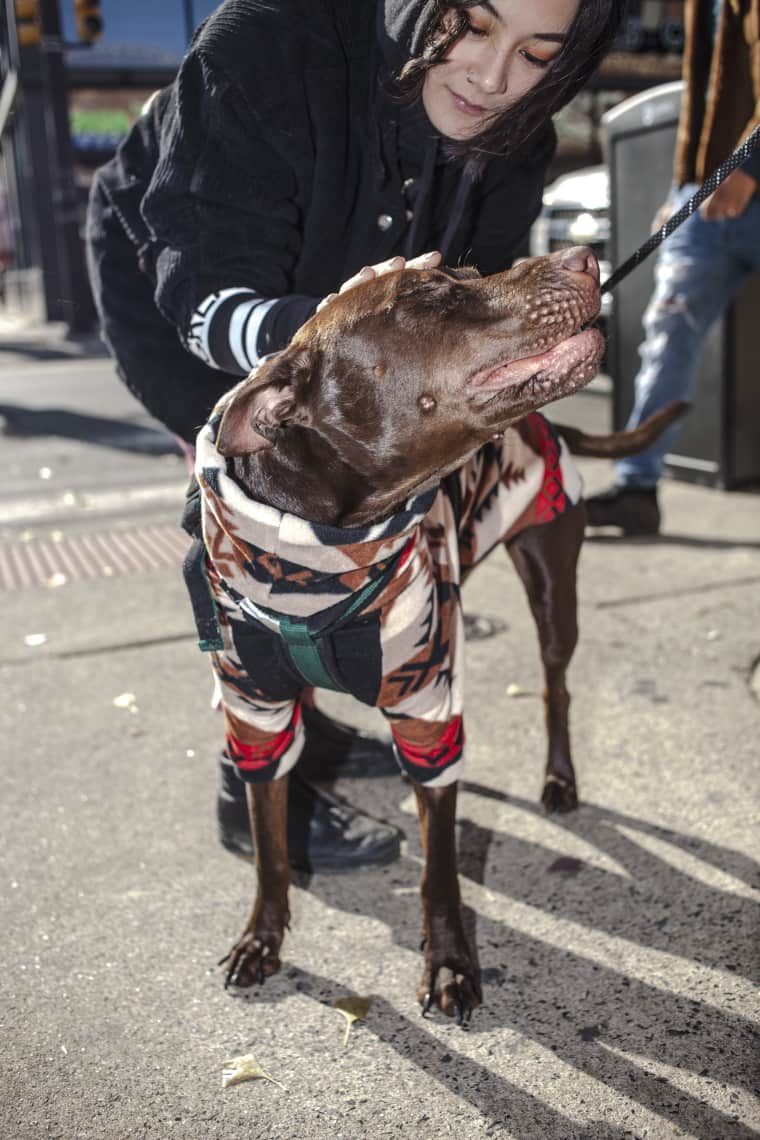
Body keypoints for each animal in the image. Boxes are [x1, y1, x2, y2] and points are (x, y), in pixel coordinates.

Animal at [190, 247, 683, 1026]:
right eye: (426, 292)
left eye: (468, 271)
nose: (583, 255)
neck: (325, 547)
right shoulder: (256, 713)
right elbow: (271, 850)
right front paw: (260, 941)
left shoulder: (426, 706)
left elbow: (441, 873)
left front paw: (450, 965)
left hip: (553, 590)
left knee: (557, 688)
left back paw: (559, 779)